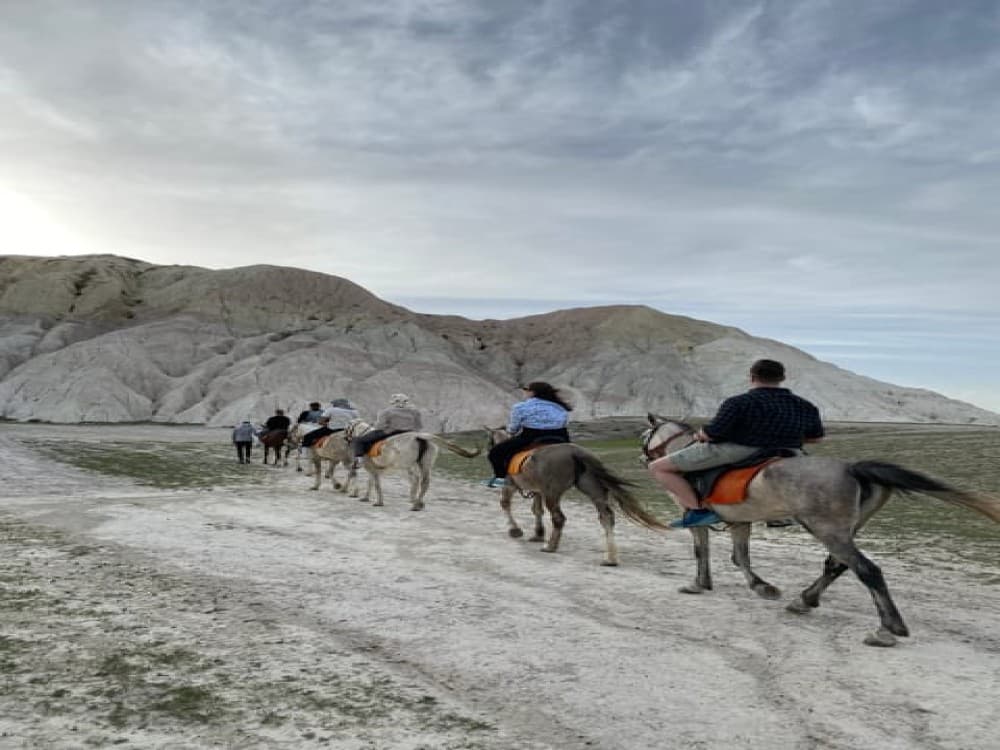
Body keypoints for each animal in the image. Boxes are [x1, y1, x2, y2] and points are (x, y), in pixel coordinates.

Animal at [344, 420, 481, 510]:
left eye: (347, 429)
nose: (346, 438)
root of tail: (418, 436)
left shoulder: (371, 468)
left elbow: (376, 484)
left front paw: (379, 502)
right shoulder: (373, 470)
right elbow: (371, 483)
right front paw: (366, 498)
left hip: (406, 465)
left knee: (415, 479)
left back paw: (415, 502)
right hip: (425, 464)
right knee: (424, 482)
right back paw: (418, 503)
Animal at [485, 427, 667, 566]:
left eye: (489, 441)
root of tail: (575, 453)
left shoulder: (512, 486)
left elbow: (505, 503)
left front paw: (515, 530)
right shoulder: (537, 491)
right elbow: (537, 510)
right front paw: (538, 534)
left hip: (553, 493)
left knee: (559, 518)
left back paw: (550, 546)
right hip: (593, 489)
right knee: (606, 517)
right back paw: (610, 558)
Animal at [641, 414, 1000, 646]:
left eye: (645, 436)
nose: (644, 458)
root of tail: (852, 468)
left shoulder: (695, 518)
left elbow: (704, 551)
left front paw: (699, 584)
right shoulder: (740, 521)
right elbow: (740, 556)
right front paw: (761, 586)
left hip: (828, 530)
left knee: (867, 570)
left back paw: (887, 629)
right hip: (844, 530)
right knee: (837, 566)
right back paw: (805, 600)